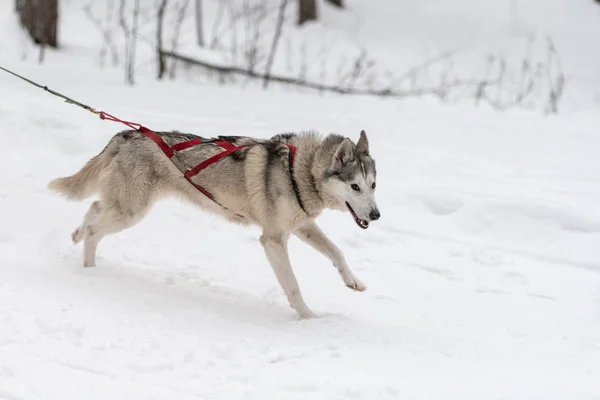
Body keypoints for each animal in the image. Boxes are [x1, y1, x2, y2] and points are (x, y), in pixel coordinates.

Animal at [50, 129, 380, 318]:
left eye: (374, 185)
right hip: (131, 211)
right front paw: (309, 319)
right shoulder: (274, 239)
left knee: (94, 208)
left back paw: (78, 234)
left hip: (125, 206)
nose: (376, 215)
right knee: (95, 229)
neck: (299, 170)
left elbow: (337, 252)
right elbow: (294, 286)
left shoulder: (301, 226)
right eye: (355, 187)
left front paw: (353, 281)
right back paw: (91, 270)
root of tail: (126, 134)